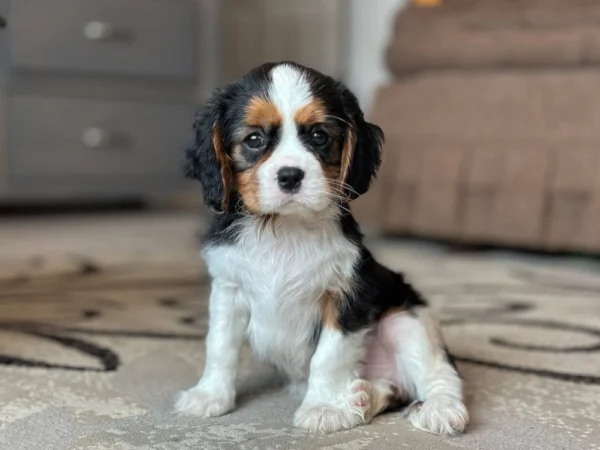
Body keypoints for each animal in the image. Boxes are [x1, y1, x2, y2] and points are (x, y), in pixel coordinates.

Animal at [175, 61, 468, 434]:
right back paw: (361, 397)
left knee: (440, 376)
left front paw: (324, 407)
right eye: (254, 140)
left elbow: (329, 357)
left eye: (319, 136)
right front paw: (210, 396)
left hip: (407, 321)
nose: (290, 175)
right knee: (391, 389)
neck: (285, 228)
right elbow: (220, 347)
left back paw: (439, 409)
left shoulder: (347, 294)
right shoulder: (228, 290)